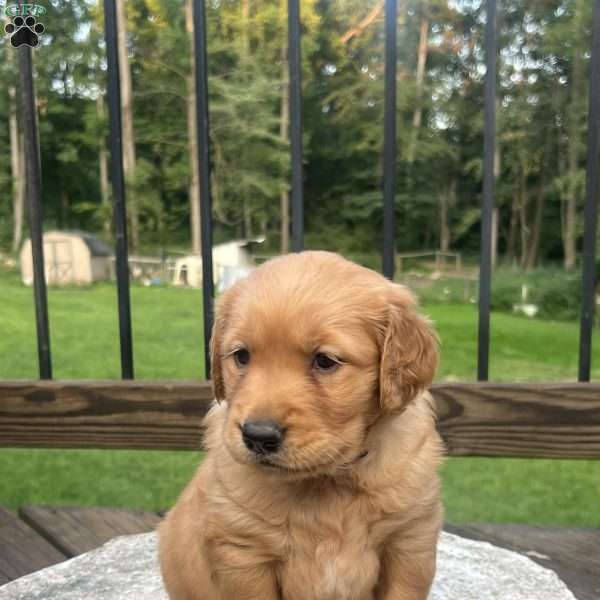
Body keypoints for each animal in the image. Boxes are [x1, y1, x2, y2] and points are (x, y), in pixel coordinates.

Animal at [159, 251, 446, 600]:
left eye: (324, 361)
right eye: (241, 356)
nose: (258, 436)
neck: (328, 482)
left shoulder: (409, 543)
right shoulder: (243, 553)